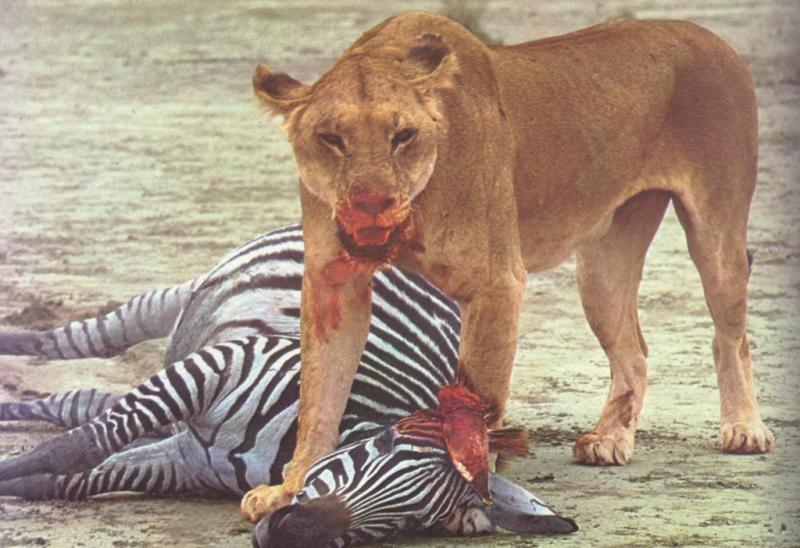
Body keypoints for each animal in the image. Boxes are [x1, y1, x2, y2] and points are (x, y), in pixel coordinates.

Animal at [0, 224, 577, 544]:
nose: (288, 532)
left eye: (414, 520)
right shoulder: (227, 363)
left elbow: (71, 478)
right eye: (381, 445)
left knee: (78, 401)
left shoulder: (183, 462)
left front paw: (22, 486)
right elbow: (77, 448)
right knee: (77, 344)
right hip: (187, 297)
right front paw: (11, 473)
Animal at [241, 11, 774, 520]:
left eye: (403, 136)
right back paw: (610, 440)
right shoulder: (333, 282)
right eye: (331, 138)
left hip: (718, 237)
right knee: (634, 352)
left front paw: (465, 496)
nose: (372, 204)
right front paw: (292, 489)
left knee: (732, 336)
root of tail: (712, 37)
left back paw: (744, 428)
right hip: (601, 268)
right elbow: (319, 397)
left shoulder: (496, 283)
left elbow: (478, 403)